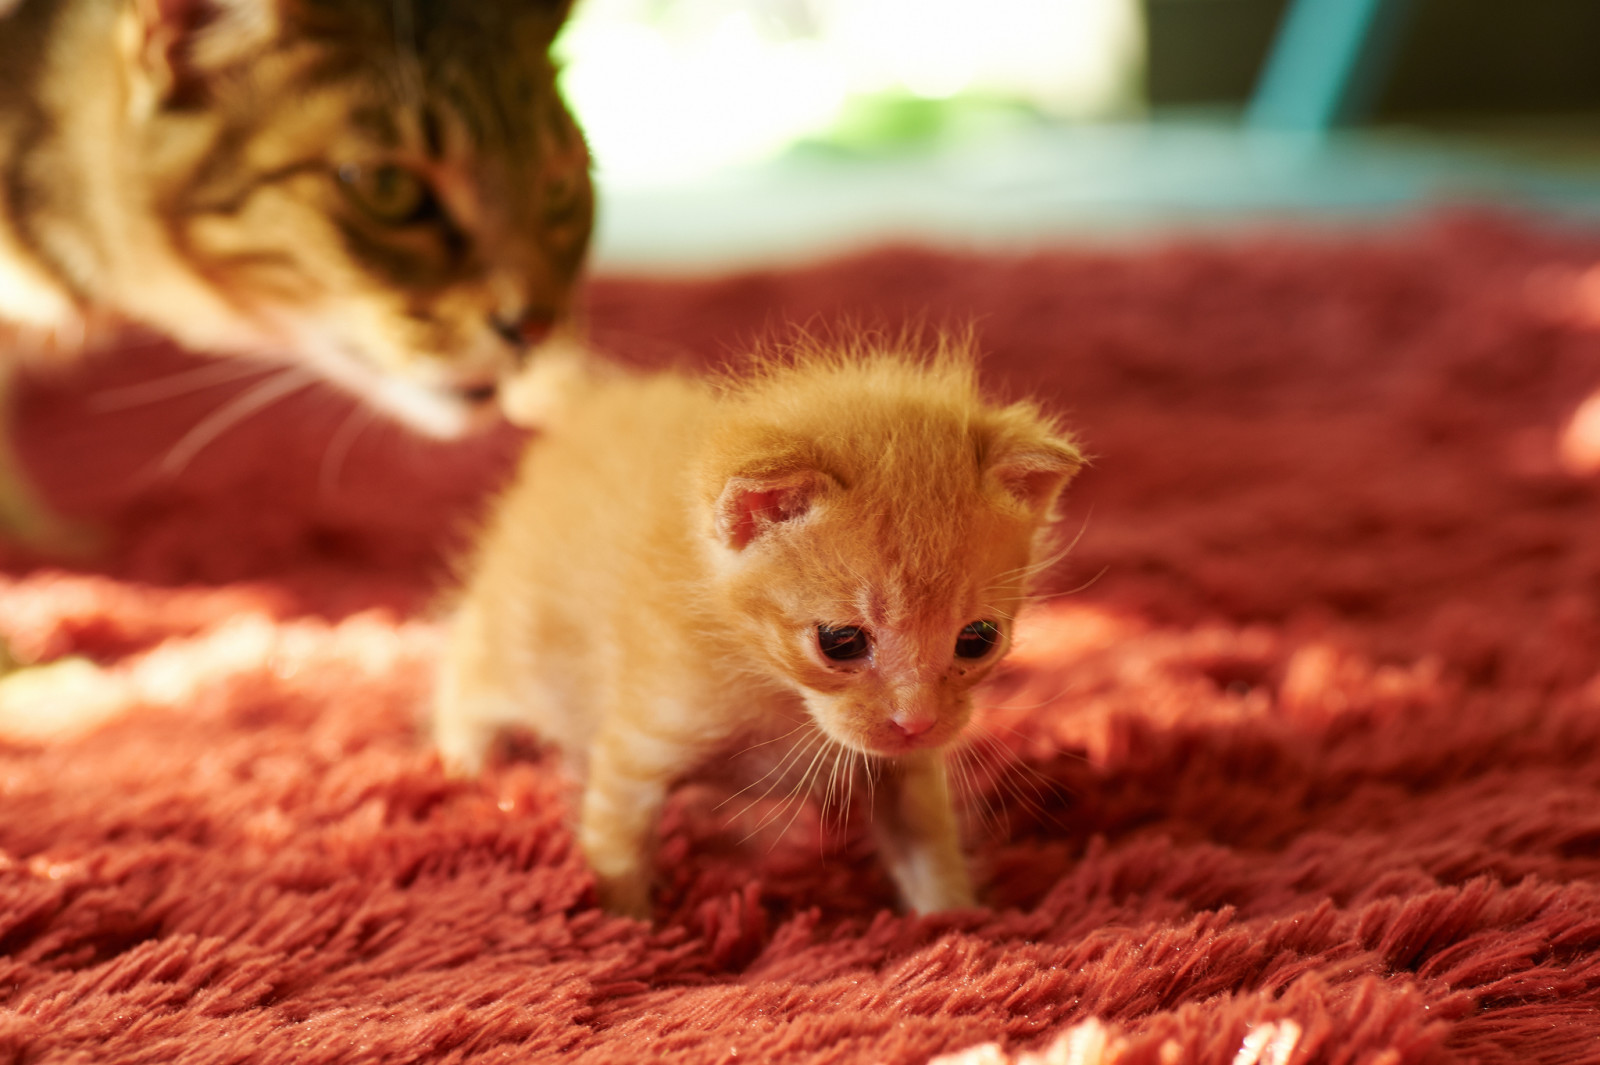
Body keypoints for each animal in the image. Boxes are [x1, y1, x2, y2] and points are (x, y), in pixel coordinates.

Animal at [438, 340, 1081, 914]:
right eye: (840, 643)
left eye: (978, 639)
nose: (917, 723)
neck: (780, 695)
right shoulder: (637, 748)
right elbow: (616, 851)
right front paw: (628, 931)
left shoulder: (902, 769)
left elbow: (929, 848)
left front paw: (956, 921)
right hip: (516, 648)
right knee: (464, 671)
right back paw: (461, 762)